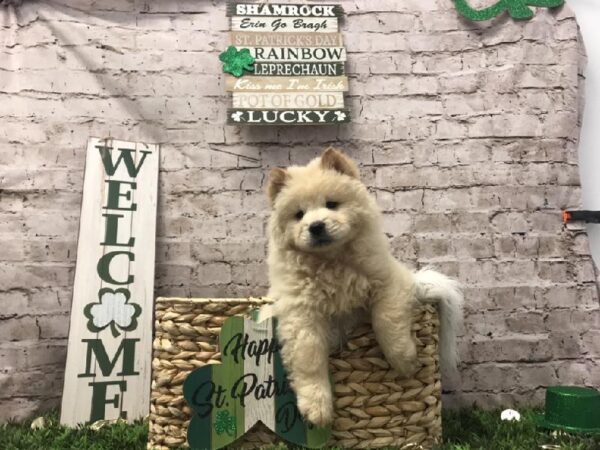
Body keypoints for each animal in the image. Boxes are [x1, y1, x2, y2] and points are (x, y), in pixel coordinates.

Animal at [264, 148, 464, 426]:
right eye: (299, 215)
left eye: (331, 204)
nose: (316, 226)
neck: (332, 262)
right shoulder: (300, 316)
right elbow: (310, 359)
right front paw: (317, 409)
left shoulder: (389, 284)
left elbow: (386, 322)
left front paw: (405, 362)